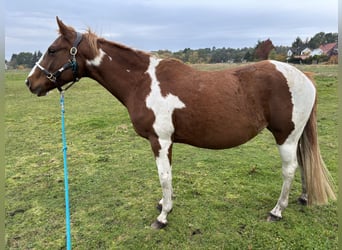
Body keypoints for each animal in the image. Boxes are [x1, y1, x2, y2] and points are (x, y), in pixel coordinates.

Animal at [25, 17, 336, 229]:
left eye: (52, 50)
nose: (31, 83)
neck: (142, 82)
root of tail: (305, 76)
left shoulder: (159, 141)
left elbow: (164, 176)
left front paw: (162, 217)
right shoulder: (167, 142)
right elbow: (168, 176)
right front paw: (166, 204)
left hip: (285, 136)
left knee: (289, 170)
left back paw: (277, 210)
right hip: (295, 137)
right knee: (303, 163)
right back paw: (303, 198)